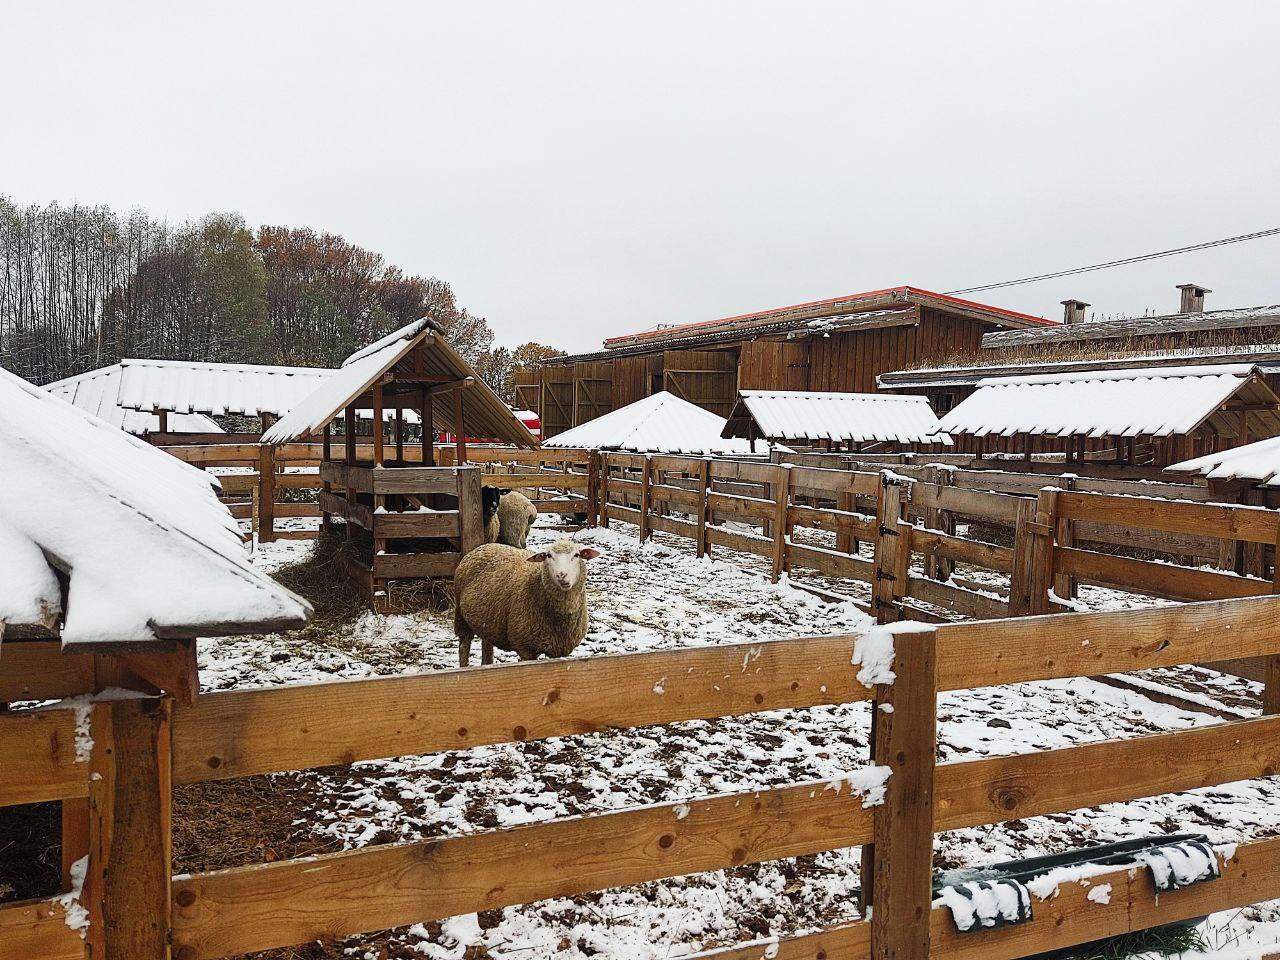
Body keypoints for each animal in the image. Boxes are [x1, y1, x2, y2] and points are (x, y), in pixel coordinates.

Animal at [455, 542, 599, 670]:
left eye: (576, 555)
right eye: (548, 555)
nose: (561, 575)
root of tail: (483, 546)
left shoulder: (558, 650)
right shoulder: (525, 648)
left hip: (488, 620)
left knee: (487, 644)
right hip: (461, 617)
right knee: (464, 645)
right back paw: (463, 668)